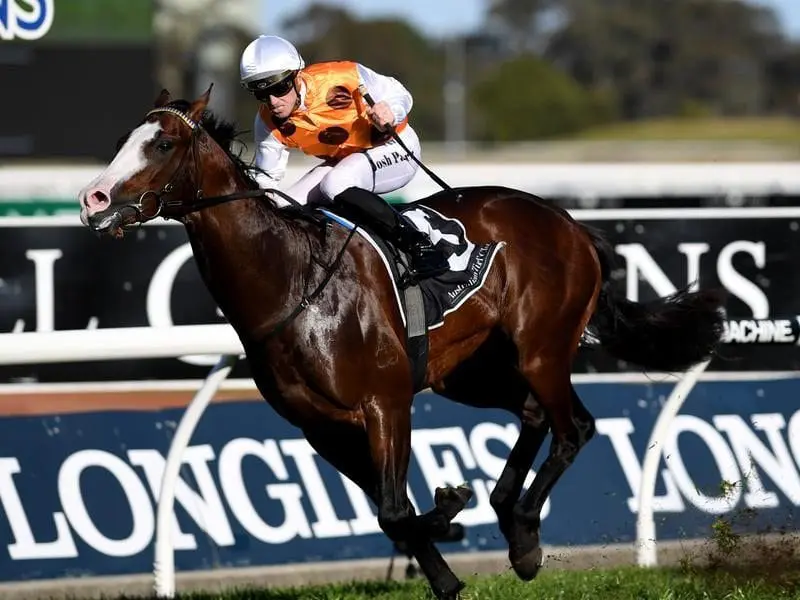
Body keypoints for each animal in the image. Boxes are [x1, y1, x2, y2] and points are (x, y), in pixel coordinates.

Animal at [76, 86, 724, 596]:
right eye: (123, 138)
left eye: (162, 144)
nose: (93, 200)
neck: (293, 280)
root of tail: (569, 223)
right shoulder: (321, 426)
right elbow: (393, 513)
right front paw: (447, 562)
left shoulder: (384, 403)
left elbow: (395, 508)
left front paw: (451, 512)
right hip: (470, 372)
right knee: (535, 415)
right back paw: (511, 521)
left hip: (541, 348)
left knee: (575, 429)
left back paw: (523, 537)